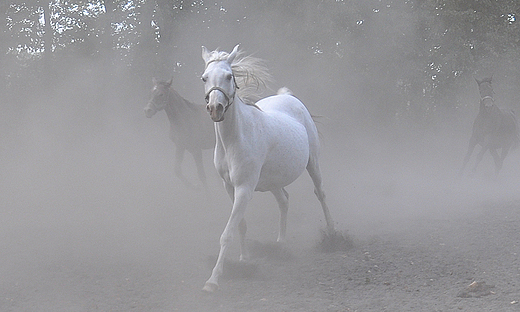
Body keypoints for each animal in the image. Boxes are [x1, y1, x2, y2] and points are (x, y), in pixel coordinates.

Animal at [201, 44, 336, 292]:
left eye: (229, 76)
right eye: (204, 77)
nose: (215, 108)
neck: (235, 138)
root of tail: (289, 98)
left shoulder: (244, 189)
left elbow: (228, 232)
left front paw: (212, 281)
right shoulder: (230, 187)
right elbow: (241, 225)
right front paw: (244, 259)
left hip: (313, 163)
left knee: (320, 193)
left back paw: (332, 233)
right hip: (274, 180)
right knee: (284, 201)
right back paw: (280, 244)